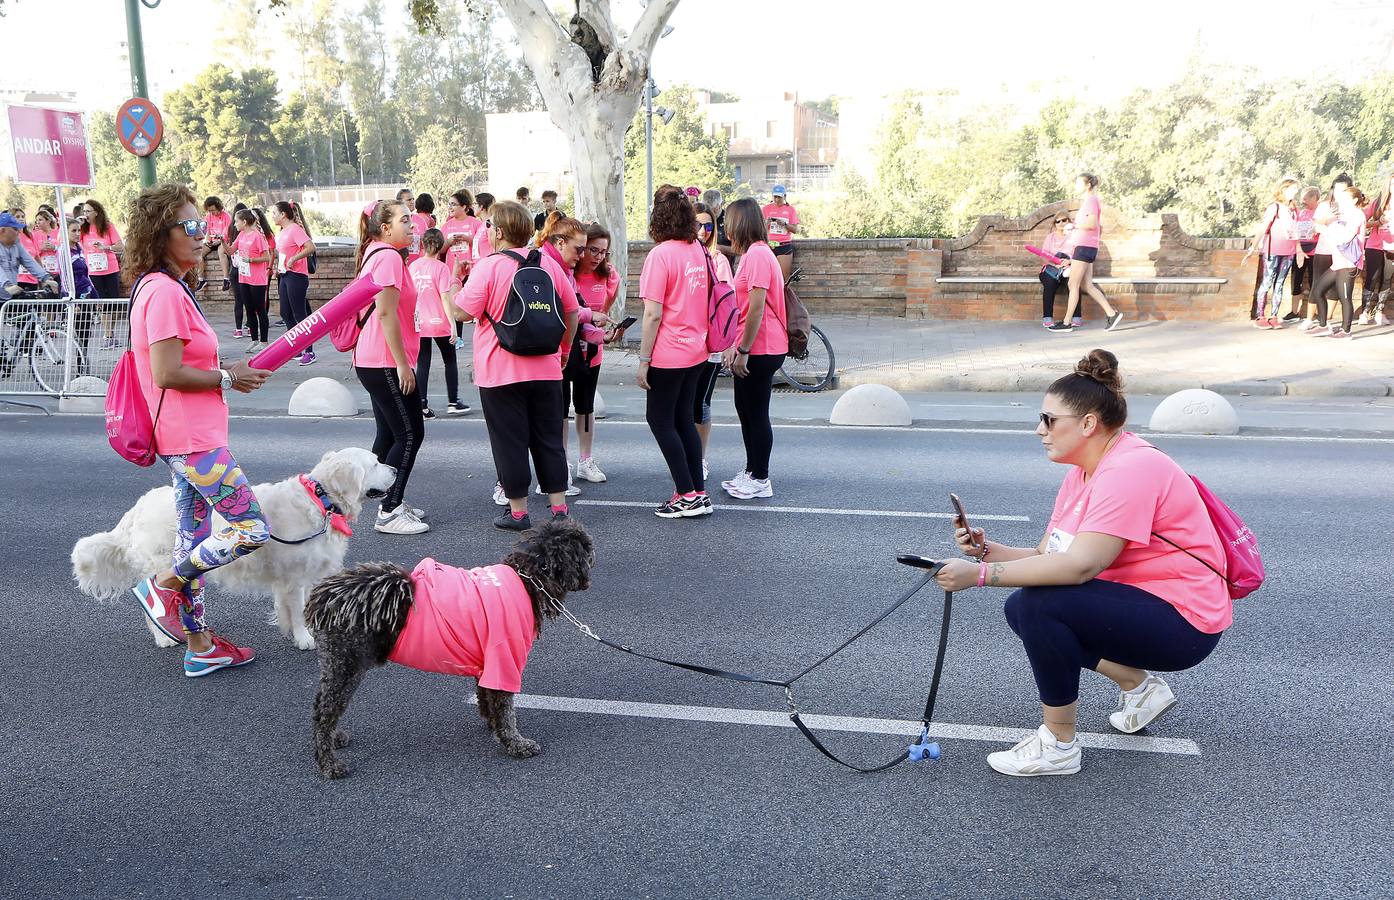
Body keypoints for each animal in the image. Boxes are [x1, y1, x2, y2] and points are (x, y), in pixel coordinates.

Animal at [72, 448, 398, 649]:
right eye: (375, 462)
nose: (395, 469)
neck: (320, 499)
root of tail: (138, 506)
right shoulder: (294, 576)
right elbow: (297, 609)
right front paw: (303, 637)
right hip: (161, 563)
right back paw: (164, 636)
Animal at [305, 518, 593, 780]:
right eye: (584, 548)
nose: (593, 556)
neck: (528, 579)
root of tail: (323, 596)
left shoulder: (488, 660)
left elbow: (487, 696)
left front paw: (493, 726)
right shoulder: (504, 657)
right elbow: (504, 707)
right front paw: (515, 743)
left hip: (335, 663)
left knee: (322, 705)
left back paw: (334, 738)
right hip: (347, 664)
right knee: (324, 712)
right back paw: (328, 764)